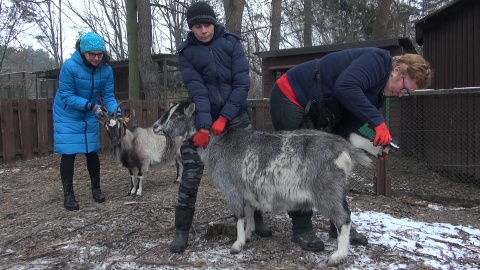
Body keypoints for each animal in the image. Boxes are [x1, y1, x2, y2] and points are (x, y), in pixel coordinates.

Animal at [154, 100, 376, 266]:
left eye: (177, 115)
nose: (155, 126)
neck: (218, 143)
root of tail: (343, 147)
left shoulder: (232, 190)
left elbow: (239, 216)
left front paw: (237, 245)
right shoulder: (246, 190)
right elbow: (250, 213)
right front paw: (249, 234)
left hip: (326, 191)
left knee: (344, 219)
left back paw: (338, 256)